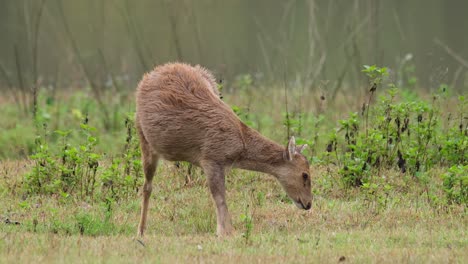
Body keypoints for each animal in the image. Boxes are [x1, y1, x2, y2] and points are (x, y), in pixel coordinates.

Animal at [134, 62, 310, 237]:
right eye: (305, 175)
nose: (308, 203)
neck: (238, 148)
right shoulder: (211, 158)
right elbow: (220, 197)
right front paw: (226, 233)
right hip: (144, 139)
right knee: (147, 187)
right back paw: (141, 230)